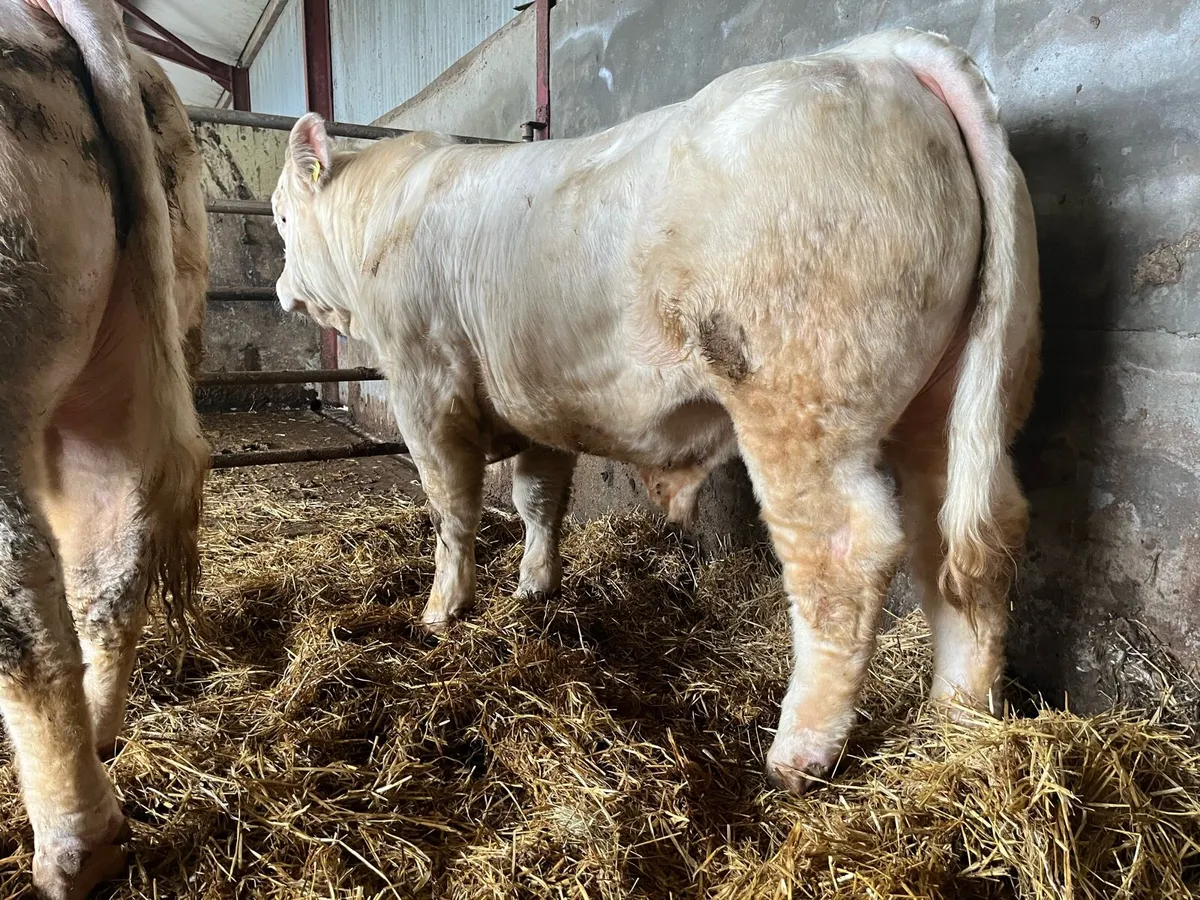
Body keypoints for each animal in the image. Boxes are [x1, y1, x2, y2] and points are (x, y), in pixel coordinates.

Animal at [271, 28, 1040, 797]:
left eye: (279, 217)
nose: (279, 288)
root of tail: (879, 54)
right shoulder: (538, 402)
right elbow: (538, 498)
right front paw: (533, 588)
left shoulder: (424, 384)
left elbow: (451, 508)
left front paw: (441, 611)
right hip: (954, 399)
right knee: (965, 538)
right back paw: (959, 718)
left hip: (797, 396)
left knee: (845, 552)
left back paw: (798, 753)